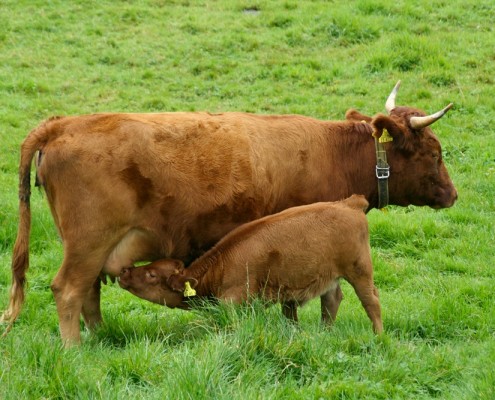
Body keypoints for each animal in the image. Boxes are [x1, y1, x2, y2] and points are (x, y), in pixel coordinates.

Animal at [119, 194, 384, 334]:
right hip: (329, 277)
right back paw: (324, 333)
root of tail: (348, 203)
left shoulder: (233, 303)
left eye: (152, 274)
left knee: (371, 301)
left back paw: (378, 336)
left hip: (359, 270)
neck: (219, 267)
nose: (124, 271)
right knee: (331, 301)